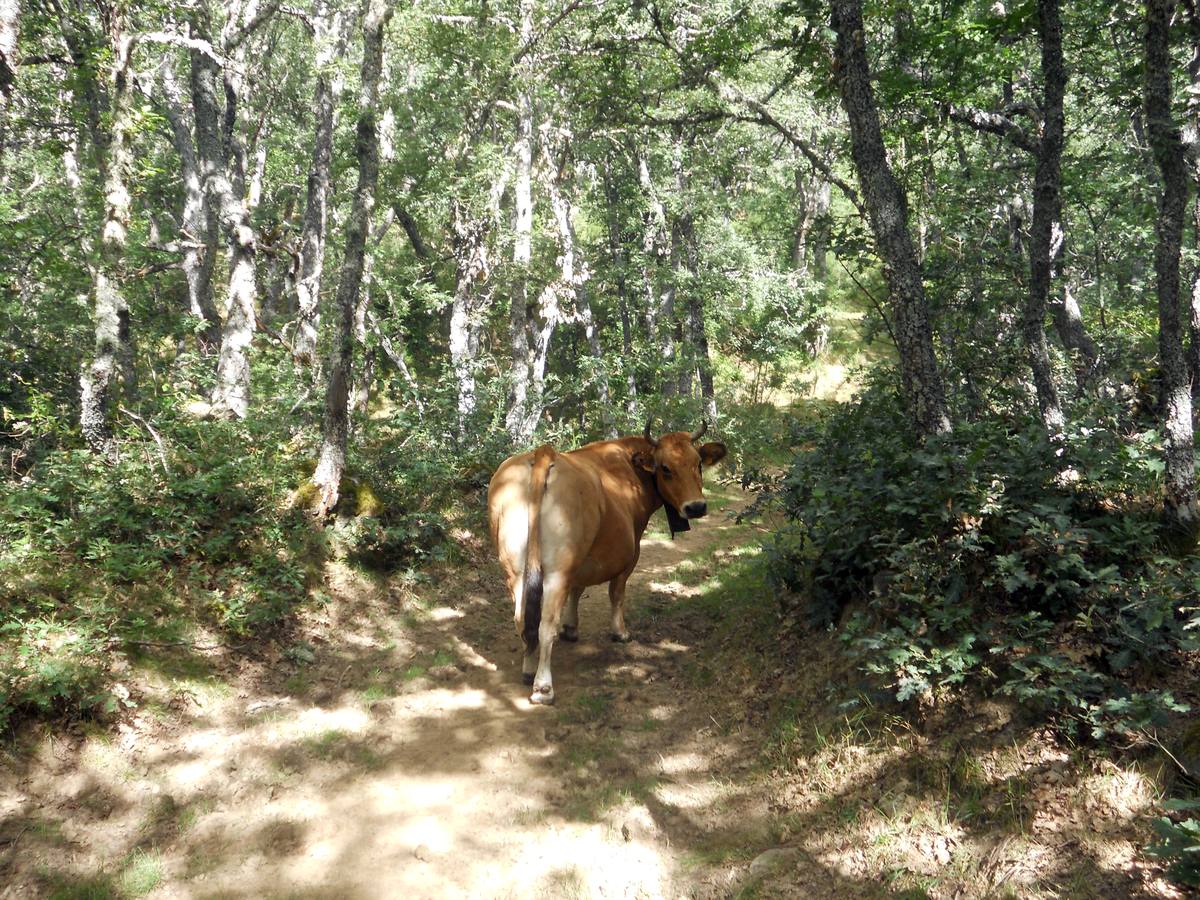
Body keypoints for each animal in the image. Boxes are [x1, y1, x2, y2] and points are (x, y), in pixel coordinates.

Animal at [489, 420, 729, 710]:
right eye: (665, 468)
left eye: (698, 464)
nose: (696, 507)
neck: (629, 466)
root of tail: (544, 453)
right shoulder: (629, 554)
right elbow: (616, 593)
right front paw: (620, 632)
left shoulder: (581, 560)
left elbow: (578, 589)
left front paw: (572, 627)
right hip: (556, 571)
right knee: (545, 626)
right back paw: (543, 687)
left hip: (516, 571)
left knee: (524, 620)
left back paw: (528, 668)